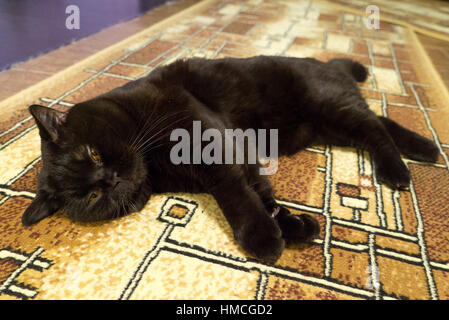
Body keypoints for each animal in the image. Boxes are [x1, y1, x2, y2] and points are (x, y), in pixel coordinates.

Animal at [21, 57, 438, 262]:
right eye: (90, 197)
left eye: (91, 152)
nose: (109, 180)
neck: (153, 164)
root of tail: (326, 64)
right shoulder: (238, 156)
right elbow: (260, 192)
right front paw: (293, 227)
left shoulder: (211, 141)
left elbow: (232, 191)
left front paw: (260, 238)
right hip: (329, 124)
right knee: (378, 121)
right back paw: (425, 148)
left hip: (329, 106)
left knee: (375, 128)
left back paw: (398, 170)